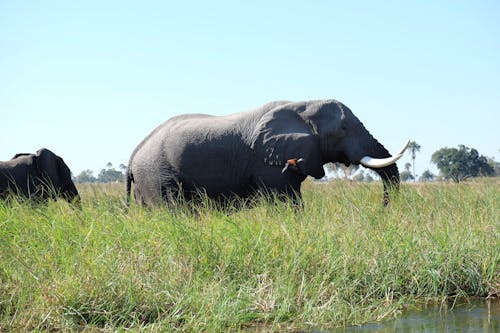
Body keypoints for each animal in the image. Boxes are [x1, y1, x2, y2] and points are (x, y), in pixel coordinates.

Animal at [127, 100, 408, 206]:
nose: (383, 208)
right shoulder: (268, 162)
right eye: (344, 128)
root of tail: (133, 156)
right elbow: (287, 203)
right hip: (157, 175)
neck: (302, 105)